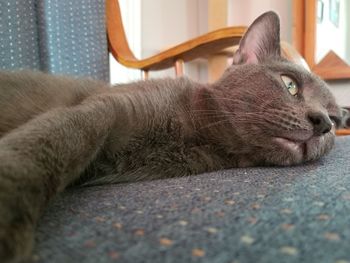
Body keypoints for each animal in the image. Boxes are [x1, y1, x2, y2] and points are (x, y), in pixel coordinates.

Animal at [0, 10, 342, 263]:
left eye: (336, 120)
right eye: (289, 84)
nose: (323, 122)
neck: (198, 135)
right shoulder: (100, 110)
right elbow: (55, 143)